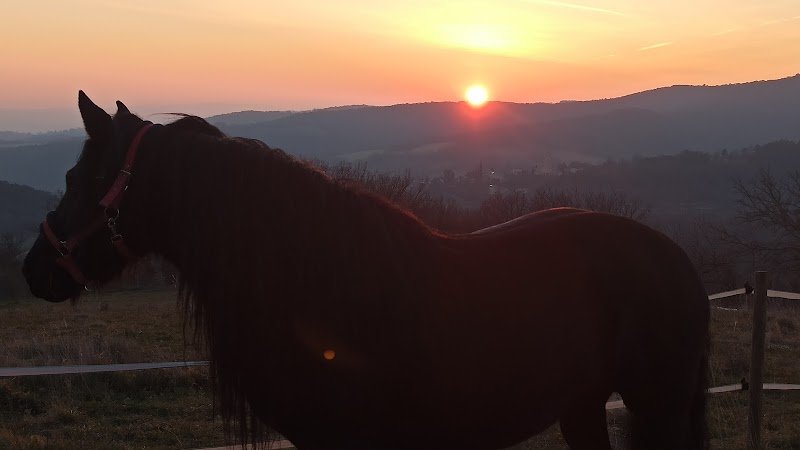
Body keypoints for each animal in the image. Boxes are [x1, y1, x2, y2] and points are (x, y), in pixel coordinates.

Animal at [23, 92, 709, 450]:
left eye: (77, 178)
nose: (34, 268)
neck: (315, 282)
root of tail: (672, 255)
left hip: (656, 401)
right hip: (584, 405)